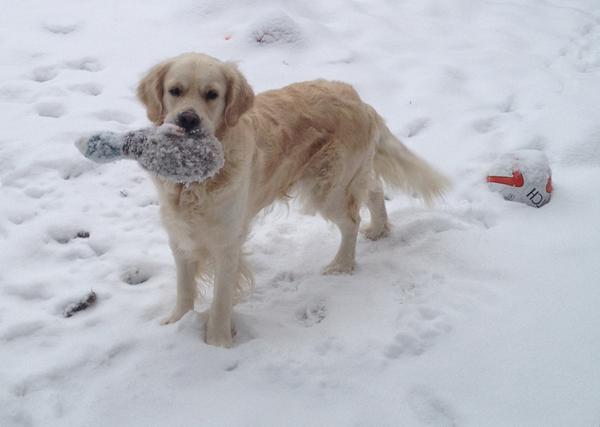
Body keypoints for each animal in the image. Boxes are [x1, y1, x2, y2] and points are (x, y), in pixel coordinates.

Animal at [135, 52, 446, 348]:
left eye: (212, 94)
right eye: (175, 91)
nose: (187, 119)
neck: (195, 183)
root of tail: (359, 100)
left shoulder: (227, 242)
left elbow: (221, 299)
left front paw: (218, 342)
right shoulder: (179, 234)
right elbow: (184, 287)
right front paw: (178, 322)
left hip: (326, 187)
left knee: (352, 220)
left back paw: (341, 265)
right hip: (350, 175)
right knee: (375, 189)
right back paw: (379, 229)